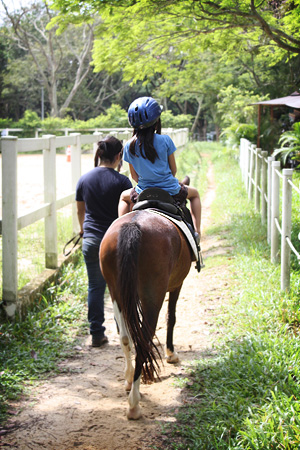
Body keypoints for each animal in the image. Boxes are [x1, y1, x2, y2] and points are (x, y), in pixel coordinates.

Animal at [99, 209, 191, 420]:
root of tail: (133, 225)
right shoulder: (177, 284)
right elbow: (171, 317)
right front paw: (171, 353)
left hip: (116, 292)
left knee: (125, 337)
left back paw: (129, 380)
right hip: (152, 294)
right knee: (143, 340)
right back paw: (134, 404)